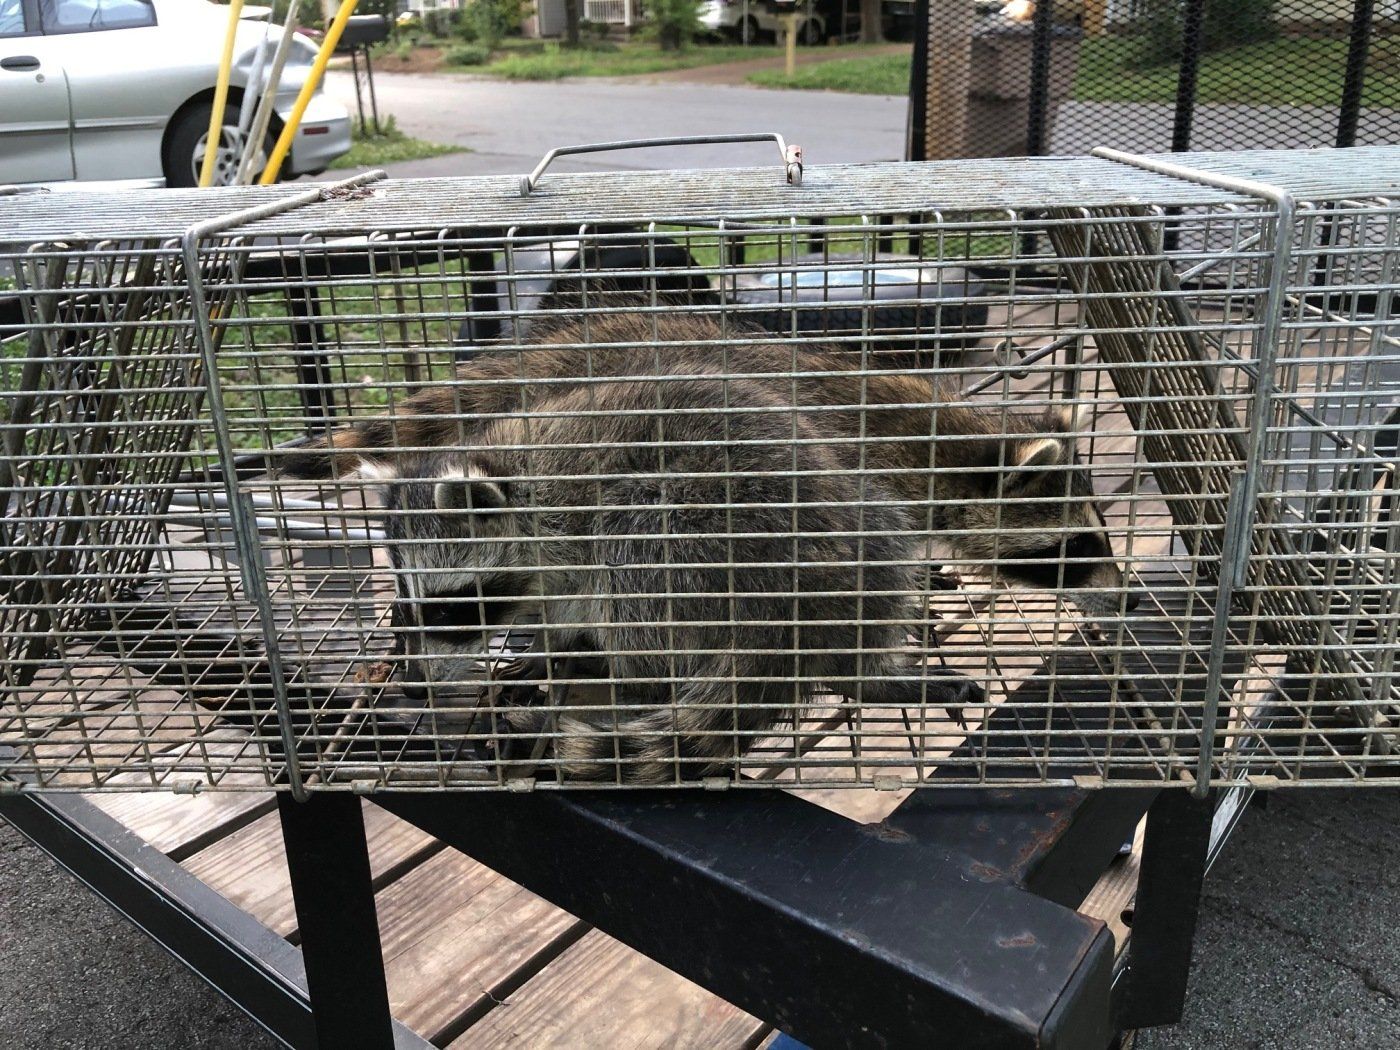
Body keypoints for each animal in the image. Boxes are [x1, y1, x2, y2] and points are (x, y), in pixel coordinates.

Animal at [369, 370, 982, 782]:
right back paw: (869, 674)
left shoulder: (570, 533)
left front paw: (554, 649)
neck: (511, 473)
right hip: (869, 537)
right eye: (404, 606)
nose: (413, 686)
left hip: (697, 538)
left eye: (449, 608)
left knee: (631, 561)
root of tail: (795, 608)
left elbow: (579, 600)